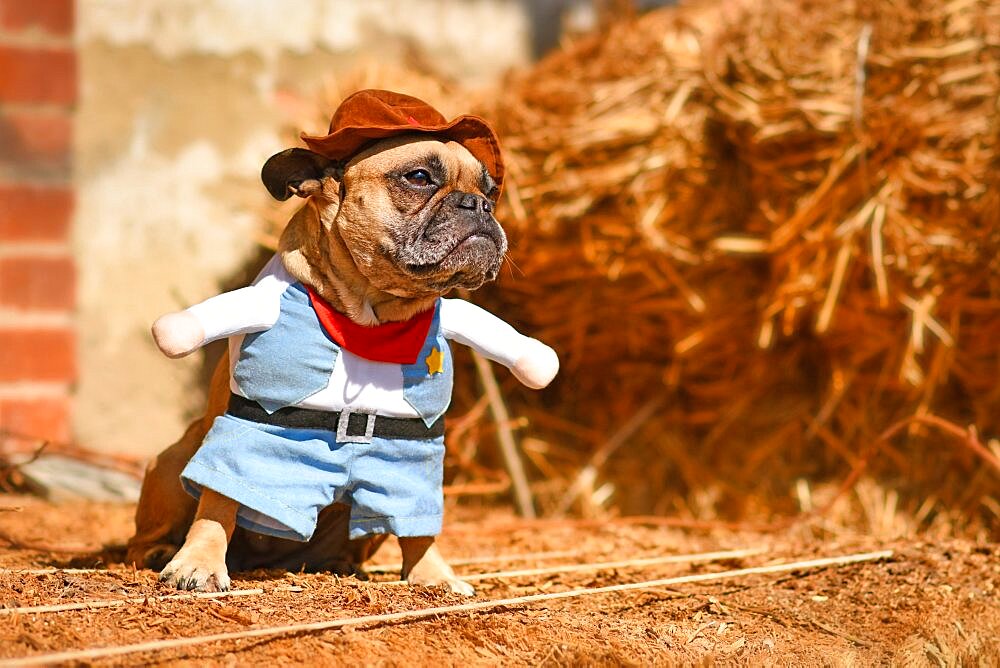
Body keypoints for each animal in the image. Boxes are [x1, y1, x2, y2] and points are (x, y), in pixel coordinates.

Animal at [125, 90, 556, 596]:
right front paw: (199, 563)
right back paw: (157, 551)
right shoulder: (240, 427)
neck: (371, 316)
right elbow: (217, 502)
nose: (480, 206)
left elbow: (418, 526)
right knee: (154, 527)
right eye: (419, 177)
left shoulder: (412, 459)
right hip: (176, 458)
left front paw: (433, 575)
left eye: (490, 191)